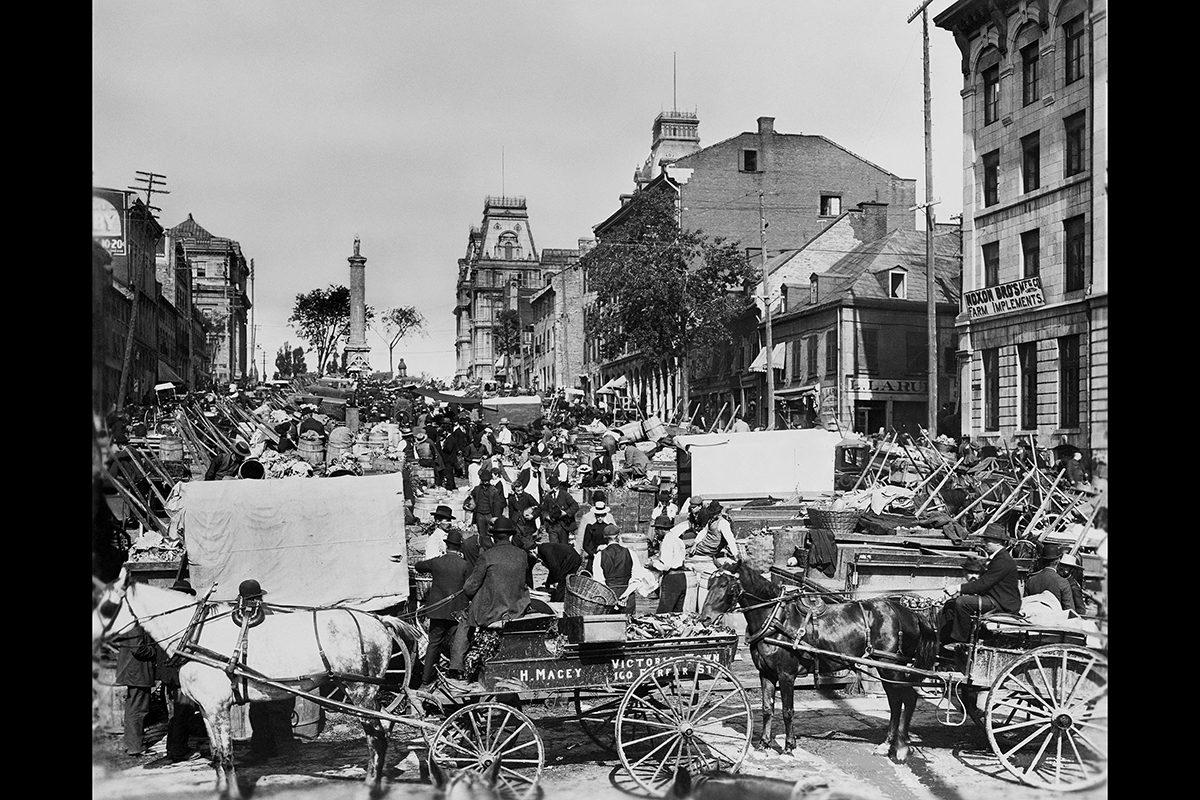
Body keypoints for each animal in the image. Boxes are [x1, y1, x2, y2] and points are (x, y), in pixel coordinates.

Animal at [93, 573, 400, 796]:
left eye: (107, 607)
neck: (195, 634)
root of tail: (378, 620)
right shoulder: (207, 710)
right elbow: (217, 755)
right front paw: (220, 790)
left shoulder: (218, 709)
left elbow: (227, 756)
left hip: (361, 691)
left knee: (377, 738)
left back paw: (370, 787)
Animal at [700, 561, 936, 762]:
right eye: (709, 583)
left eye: (726, 585)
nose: (704, 618)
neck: (776, 619)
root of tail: (909, 613)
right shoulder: (765, 673)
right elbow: (768, 708)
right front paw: (763, 745)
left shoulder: (786, 675)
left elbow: (787, 711)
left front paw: (788, 748)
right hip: (885, 668)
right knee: (896, 703)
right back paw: (887, 745)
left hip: (892, 668)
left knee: (908, 699)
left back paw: (902, 747)